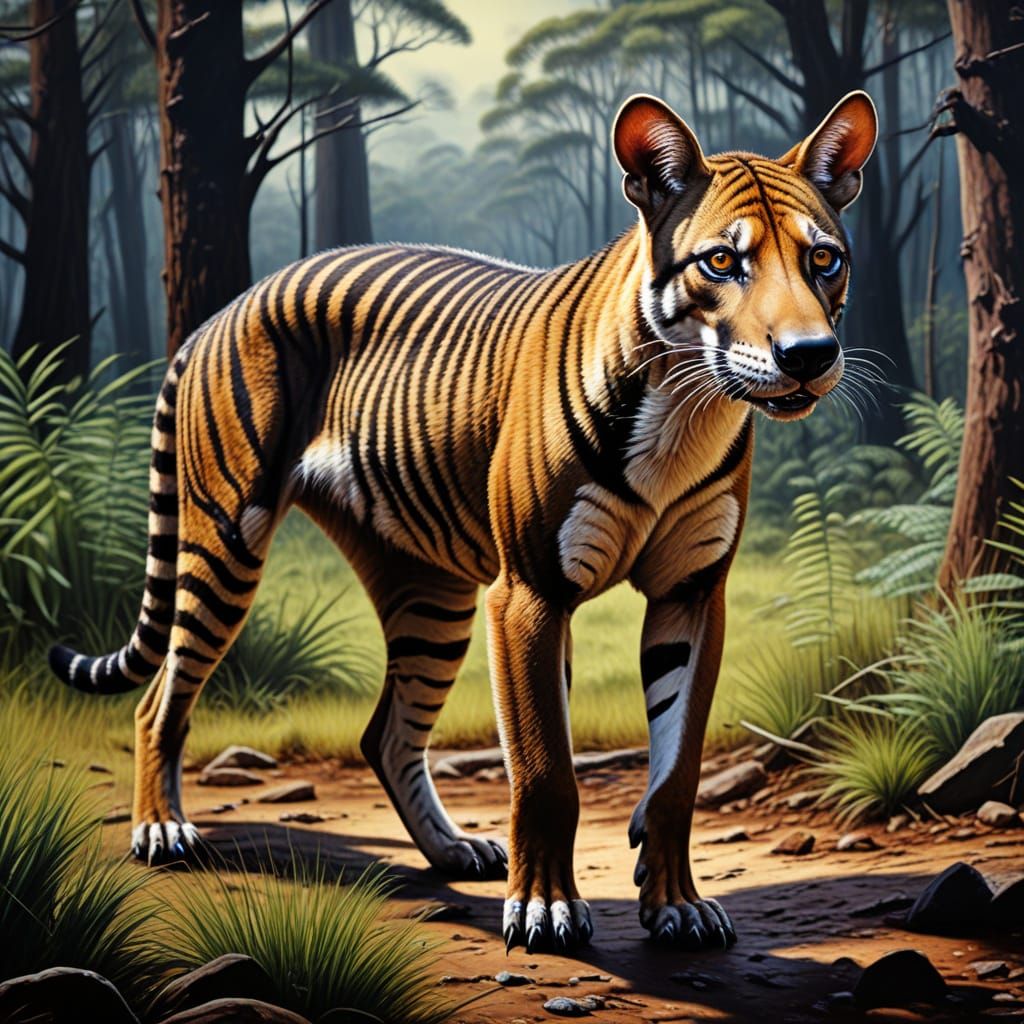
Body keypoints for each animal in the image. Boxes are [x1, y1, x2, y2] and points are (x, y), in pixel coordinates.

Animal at [49, 90, 877, 953]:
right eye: (721, 262)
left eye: (823, 259)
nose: (809, 355)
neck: (686, 409)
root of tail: (220, 312)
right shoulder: (529, 595)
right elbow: (545, 770)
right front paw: (546, 909)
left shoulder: (691, 594)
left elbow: (677, 767)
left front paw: (677, 905)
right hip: (226, 542)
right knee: (160, 699)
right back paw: (161, 832)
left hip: (432, 595)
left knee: (385, 733)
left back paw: (452, 850)